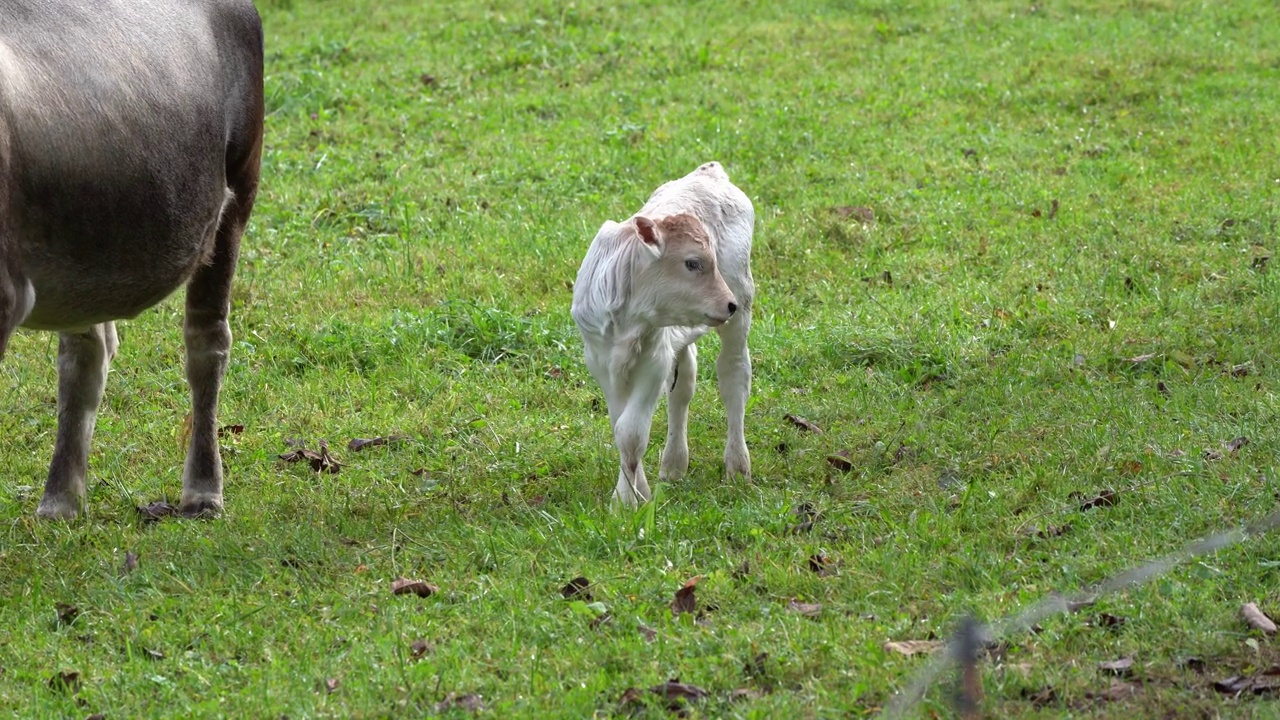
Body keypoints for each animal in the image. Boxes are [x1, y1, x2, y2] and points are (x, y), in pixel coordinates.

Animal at [568, 161, 747, 504]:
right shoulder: (600, 360)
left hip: (743, 304)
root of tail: (708, 170)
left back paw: (738, 466)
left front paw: (626, 501)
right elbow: (620, 426)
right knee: (683, 386)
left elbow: (632, 432)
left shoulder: (654, 360)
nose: (728, 303)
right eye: (692, 262)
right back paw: (674, 464)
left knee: (734, 377)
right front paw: (638, 491)